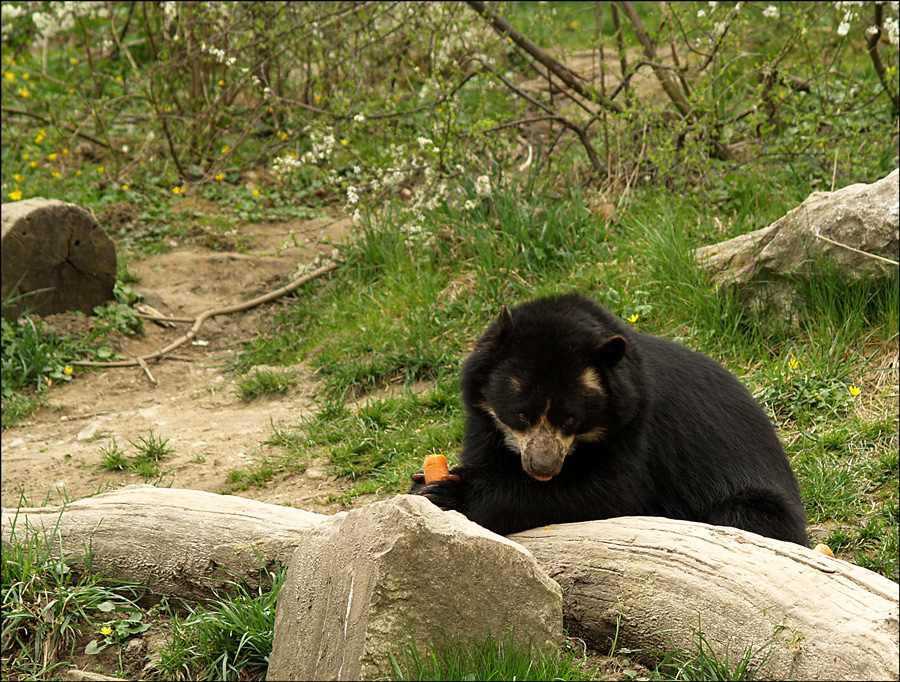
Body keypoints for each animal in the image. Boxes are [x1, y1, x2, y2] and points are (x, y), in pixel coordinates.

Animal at [414, 290, 808, 540]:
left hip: (755, 500)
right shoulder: (485, 421)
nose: (542, 469)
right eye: (520, 414)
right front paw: (426, 482)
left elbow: (608, 489)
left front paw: (450, 494)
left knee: (742, 516)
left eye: (571, 419)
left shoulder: (636, 425)